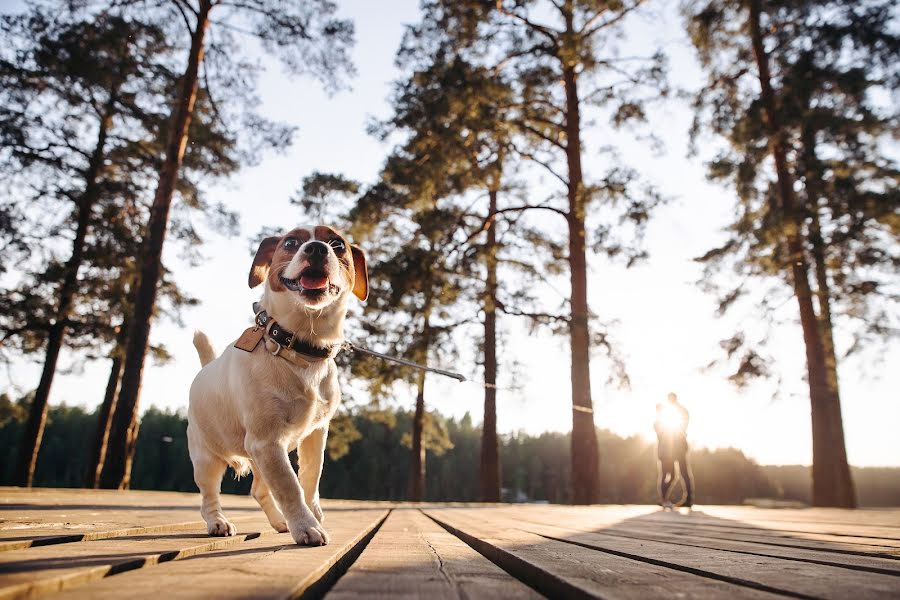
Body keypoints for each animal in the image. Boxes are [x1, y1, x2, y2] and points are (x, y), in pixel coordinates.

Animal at [186, 225, 370, 544]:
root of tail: (205, 368)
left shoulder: (314, 435)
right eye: (291, 242)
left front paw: (311, 514)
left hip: (261, 456)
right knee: (209, 497)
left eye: (337, 244)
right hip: (208, 457)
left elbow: (309, 478)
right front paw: (306, 526)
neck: (301, 347)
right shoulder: (267, 440)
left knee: (259, 489)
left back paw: (280, 522)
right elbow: (289, 485)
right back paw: (218, 522)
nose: (317, 248)